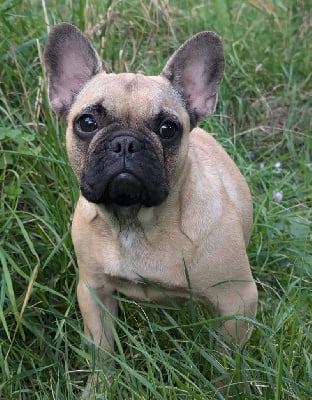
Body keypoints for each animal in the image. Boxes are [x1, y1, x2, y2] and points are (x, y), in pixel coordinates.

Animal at [44, 22, 258, 372]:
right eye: (86, 123)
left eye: (168, 128)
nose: (126, 143)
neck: (135, 222)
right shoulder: (94, 293)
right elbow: (101, 351)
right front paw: (100, 382)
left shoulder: (237, 301)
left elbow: (224, 363)